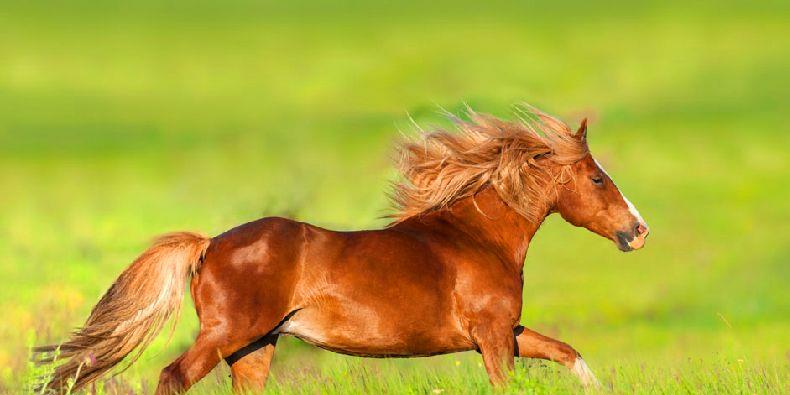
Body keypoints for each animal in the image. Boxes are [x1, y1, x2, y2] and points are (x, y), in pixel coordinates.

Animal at [32, 104, 648, 392]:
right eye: (597, 178)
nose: (638, 231)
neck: (476, 239)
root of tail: (209, 244)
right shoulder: (492, 337)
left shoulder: (506, 332)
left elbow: (568, 352)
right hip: (228, 334)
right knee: (173, 377)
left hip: (255, 347)